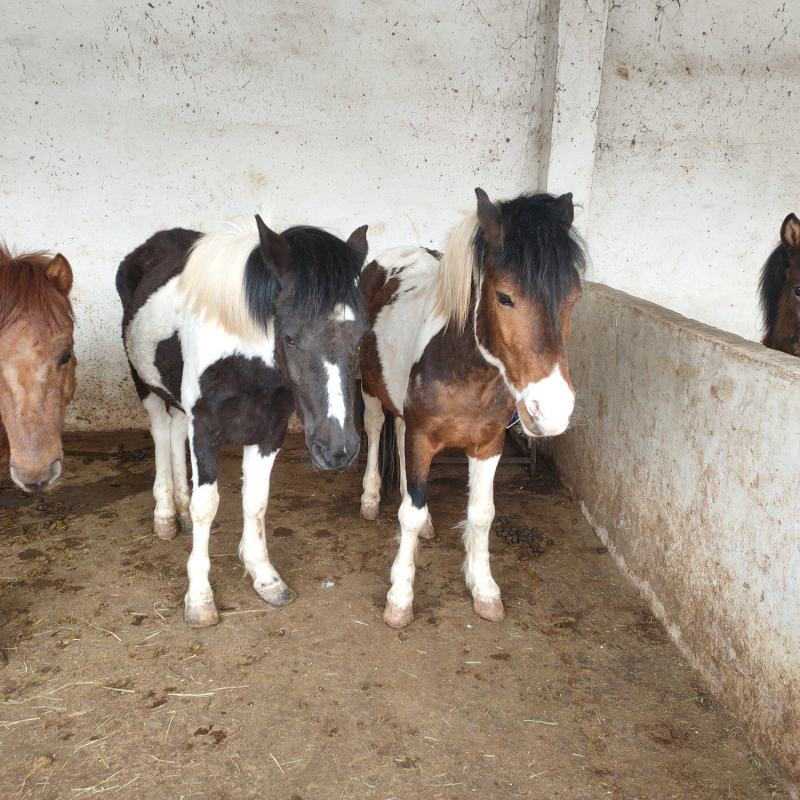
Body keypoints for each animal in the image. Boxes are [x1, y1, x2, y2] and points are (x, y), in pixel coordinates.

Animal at [117, 216, 368, 627]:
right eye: (290, 337)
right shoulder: (203, 429)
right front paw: (199, 598)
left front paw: (264, 576)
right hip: (145, 385)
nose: (337, 450)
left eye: (361, 337)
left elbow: (256, 501)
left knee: (174, 433)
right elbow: (208, 505)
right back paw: (166, 513)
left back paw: (180, 509)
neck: (244, 361)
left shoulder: (270, 431)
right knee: (158, 433)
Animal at [359, 189, 585, 628]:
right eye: (504, 296)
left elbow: (481, 514)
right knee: (377, 428)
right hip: (369, 387)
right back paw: (372, 498)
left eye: (574, 298)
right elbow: (408, 516)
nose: (551, 410)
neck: (467, 370)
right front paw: (399, 599)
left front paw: (484, 589)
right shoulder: (422, 437)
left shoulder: (488, 445)